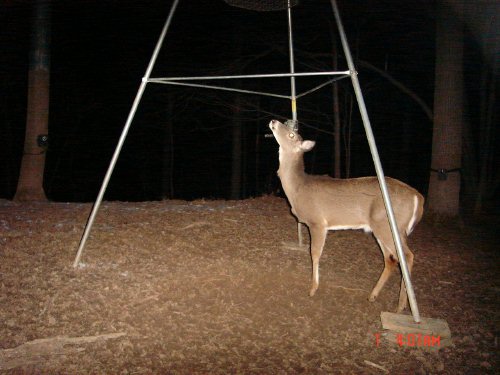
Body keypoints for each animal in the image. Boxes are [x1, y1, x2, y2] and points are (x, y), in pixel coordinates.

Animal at [268, 119, 424, 312]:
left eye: (291, 135)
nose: (274, 121)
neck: (298, 189)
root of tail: (418, 198)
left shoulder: (317, 222)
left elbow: (315, 253)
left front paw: (312, 289)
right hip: (382, 228)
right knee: (391, 259)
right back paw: (373, 296)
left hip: (389, 226)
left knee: (407, 256)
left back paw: (401, 306)